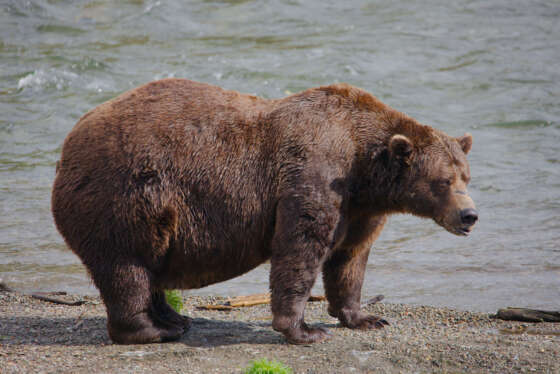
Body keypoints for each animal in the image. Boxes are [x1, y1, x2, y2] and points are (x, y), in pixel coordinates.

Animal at [51, 79, 476, 344]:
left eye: (466, 176)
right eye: (443, 181)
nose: (469, 216)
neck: (364, 168)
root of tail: (67, 146)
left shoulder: (359, 209)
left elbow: (350, 258)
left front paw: (366, 317)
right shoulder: (315, 174)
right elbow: (300, 247)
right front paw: (304, 330)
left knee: (149, 266)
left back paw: (174, 318)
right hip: (125, 194)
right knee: (128, 266)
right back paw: (153, 330)